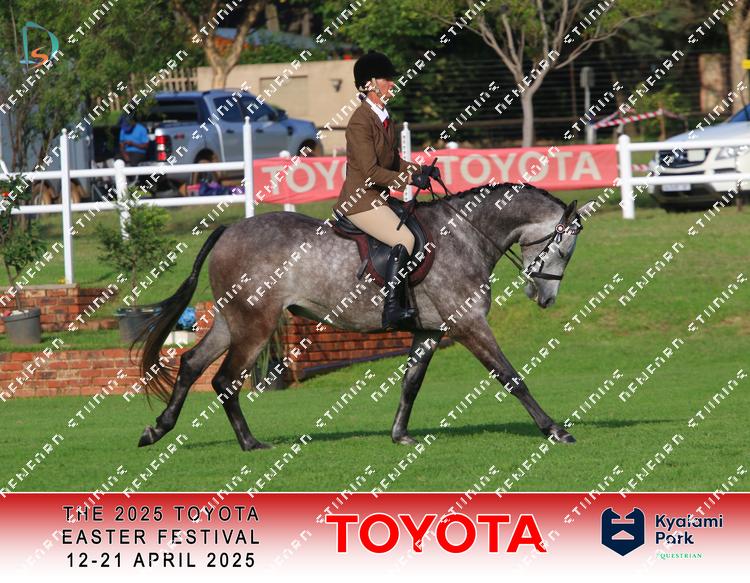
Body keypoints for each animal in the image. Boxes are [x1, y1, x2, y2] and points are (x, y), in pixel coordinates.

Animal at [135, 182, 596, 451]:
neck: (465, 235)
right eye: (564, 249)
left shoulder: (431, 330)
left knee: (192, 364)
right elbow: (512, 378)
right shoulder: (468, 325)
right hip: (254, 324)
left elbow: (411, 383)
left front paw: (400, 435)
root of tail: (229, 229)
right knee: (225, 379)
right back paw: (249, 443)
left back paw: (157, 429)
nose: (545, 298)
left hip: (232, 321)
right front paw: (555, 430)